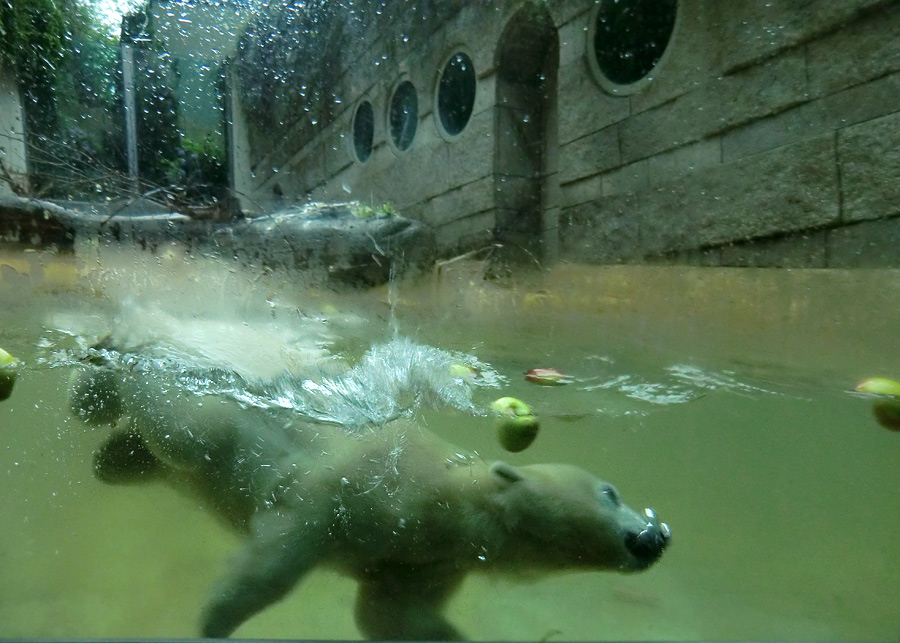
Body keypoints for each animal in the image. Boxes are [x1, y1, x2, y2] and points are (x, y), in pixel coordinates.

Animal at [72, 340, 668, 640]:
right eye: (610, 493)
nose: (655, 534)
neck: (445, 498)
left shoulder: (425, 561)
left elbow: (388, 616)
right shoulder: (354, 483)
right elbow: (281, 552)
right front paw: (216, 618)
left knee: (145, 456)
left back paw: (114, 457)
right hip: (214, 403)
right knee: (179, 421)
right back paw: (99, 378)